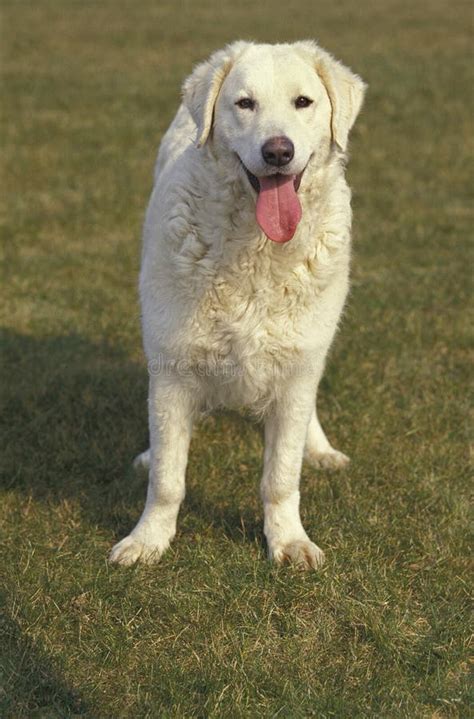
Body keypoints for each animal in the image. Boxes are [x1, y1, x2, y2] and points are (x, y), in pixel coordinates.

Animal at [111, 39, 366, 572]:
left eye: (303, 102)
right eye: (244, 104)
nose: (278, 150)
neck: (257, 247)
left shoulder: (296, 365)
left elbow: (281, 478)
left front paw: (288, 542)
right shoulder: (172, 369)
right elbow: (167, 478)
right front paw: (148, 540)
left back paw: (320, 449)